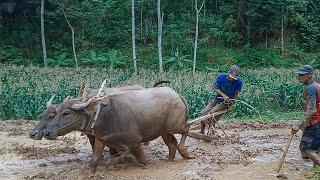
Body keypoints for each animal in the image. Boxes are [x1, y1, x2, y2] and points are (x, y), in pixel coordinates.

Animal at [43, 87, 194, 173]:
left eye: (66, 113)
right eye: (56, 112)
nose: (47, 132)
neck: (106, 115)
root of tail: (178, 95)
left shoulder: (134, 142)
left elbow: (142, 159)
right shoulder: (100, 139)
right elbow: (95, 159)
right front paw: (90, 173)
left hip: (175, 125)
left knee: (187, 128)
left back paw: (185, 152)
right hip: (164, 131)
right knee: (171, 144)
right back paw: (170, 159)